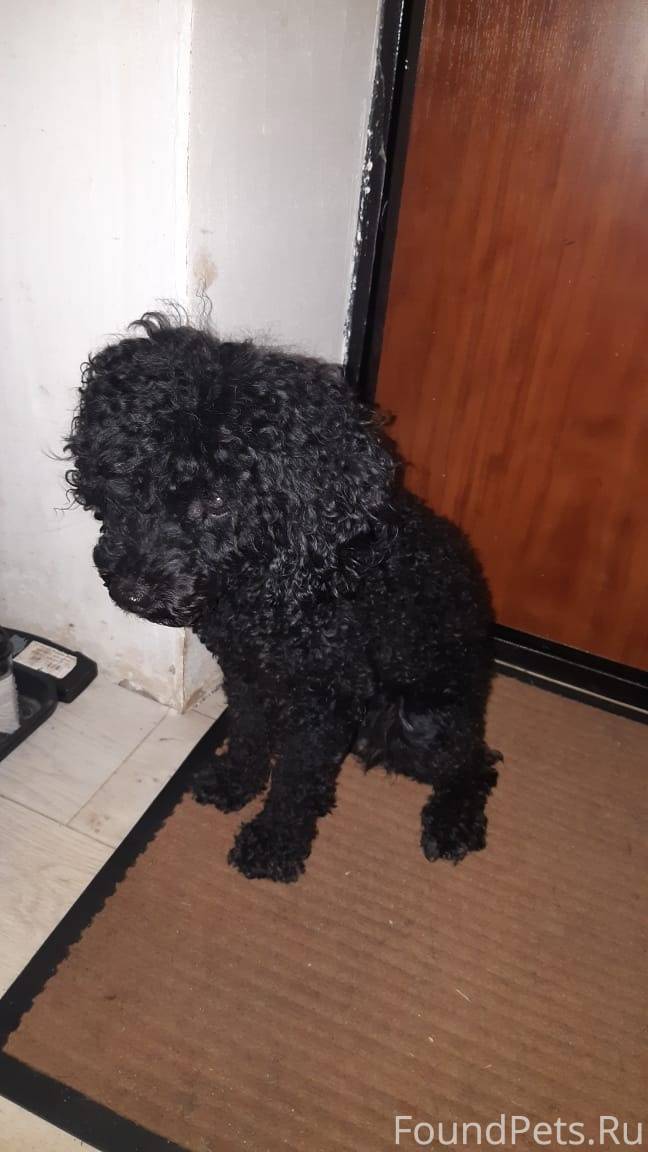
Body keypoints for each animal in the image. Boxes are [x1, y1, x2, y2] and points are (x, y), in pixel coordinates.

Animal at [66, 311, 500, 882]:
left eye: (218, 499)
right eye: (131, 478)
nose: (131, 590)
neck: (268, 582)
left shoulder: (323, 702)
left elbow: (295, 781)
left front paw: (274, 843)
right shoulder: (245, 671)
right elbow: (249, 733)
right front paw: (236, 783)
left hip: (417, 721)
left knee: (476, 760)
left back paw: (453, 822)